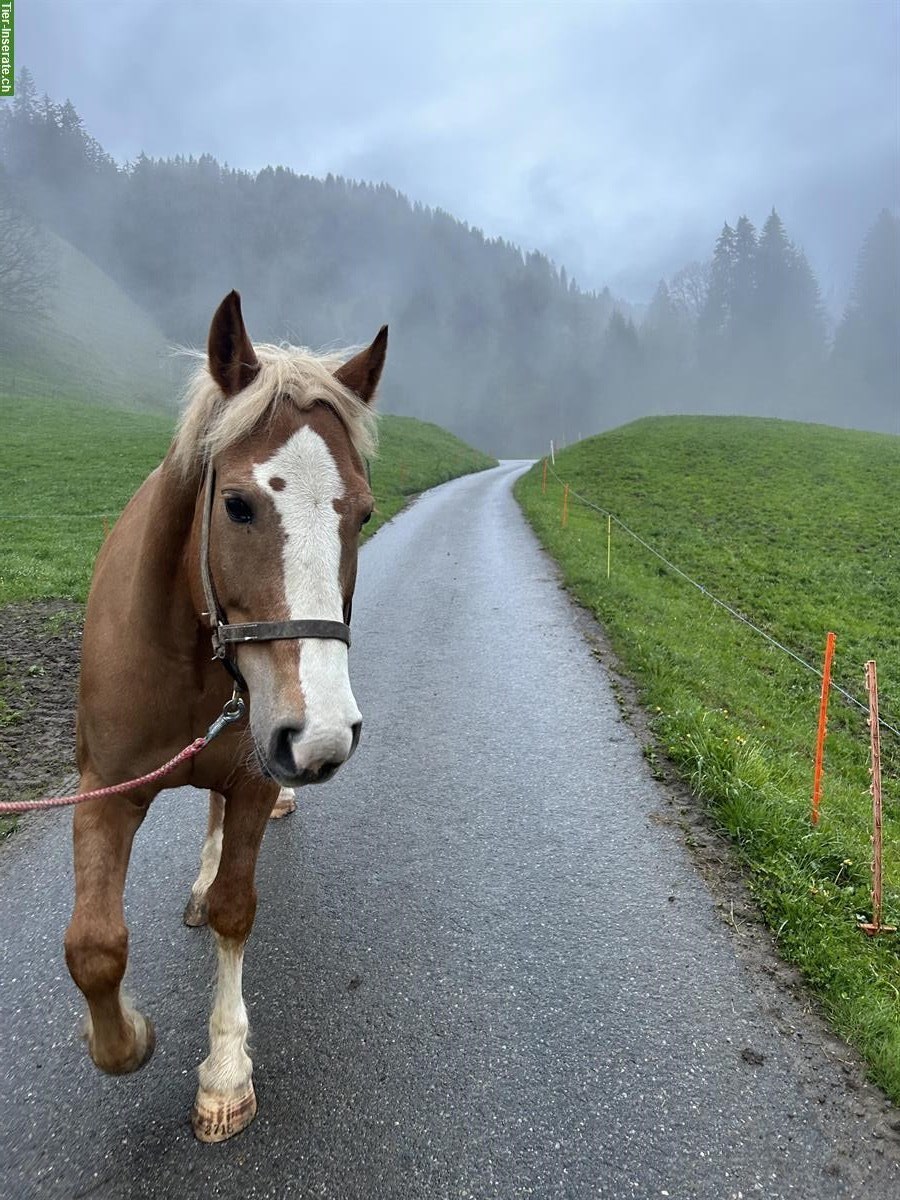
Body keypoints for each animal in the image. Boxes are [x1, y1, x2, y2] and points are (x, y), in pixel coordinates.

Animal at [63, 292, 388, 1142]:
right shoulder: (104, 790)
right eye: (237, 505)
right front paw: (125, 1038)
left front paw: (225, 1073)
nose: (321, 736)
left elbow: (236, 911)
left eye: (363, 515)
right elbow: (94, 947)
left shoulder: (251, 778)